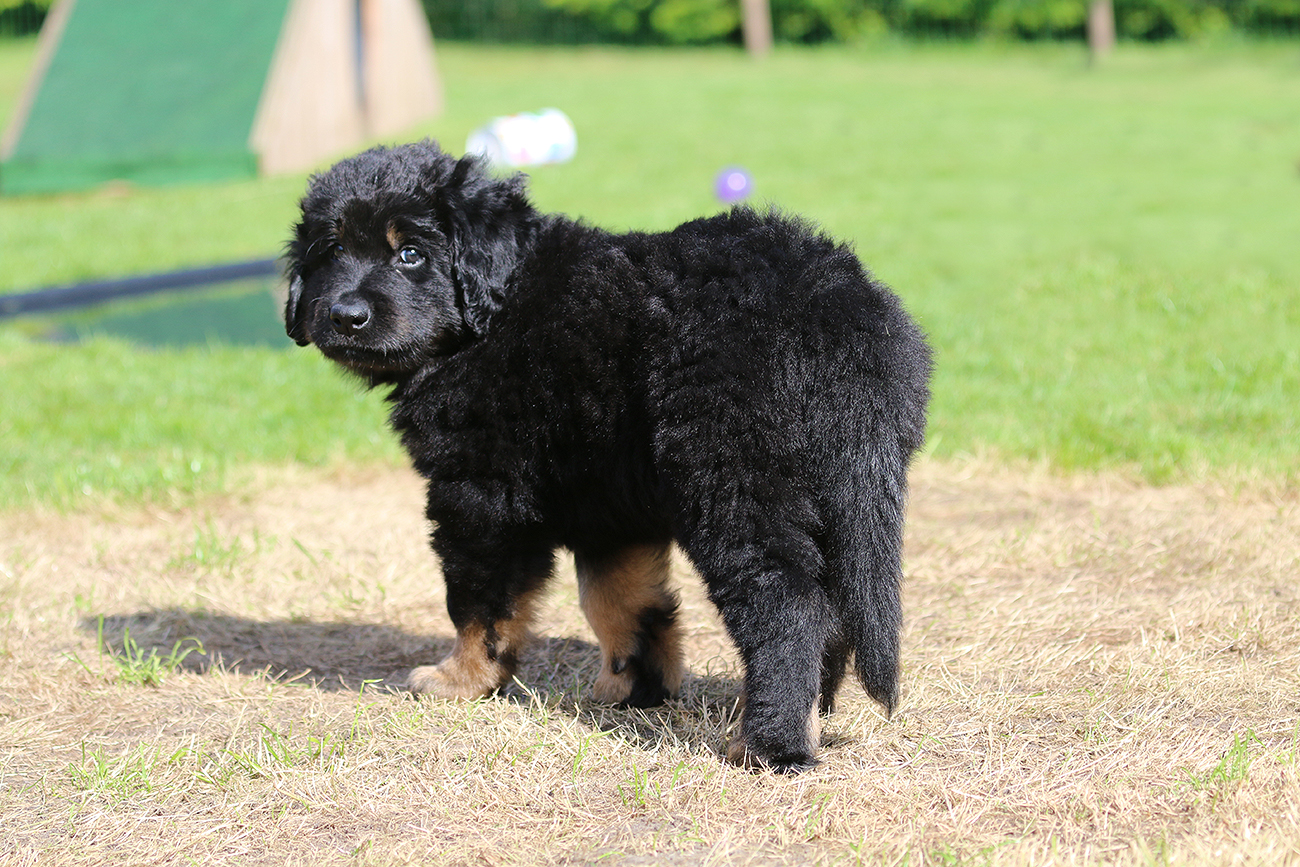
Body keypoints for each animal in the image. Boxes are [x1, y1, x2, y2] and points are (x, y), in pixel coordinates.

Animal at [284, 140, 932, 772]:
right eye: (332, 250)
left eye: (412, 254)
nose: (345, 316)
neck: (494, 313)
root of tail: (843, 311)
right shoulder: (609, 506)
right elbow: (620, 602)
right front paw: (636, 689)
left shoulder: (480, 494)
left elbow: (477, 602)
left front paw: (458, 679)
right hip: (834, 500)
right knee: (834, 611)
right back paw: (810, 715)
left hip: (732, 483)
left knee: (787, 606)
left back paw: (769, 745)